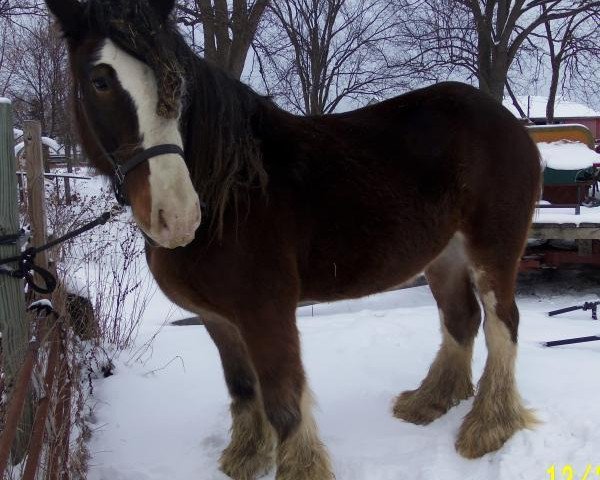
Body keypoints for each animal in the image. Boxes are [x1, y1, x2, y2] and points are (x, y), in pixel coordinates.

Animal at [47, 0, 540, 478]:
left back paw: (488, 427)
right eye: (99, 81)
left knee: (502, 325)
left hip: (492, 252)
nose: (177, 214)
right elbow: (243, 388)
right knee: (461, 319)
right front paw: (246, 457)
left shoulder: (267, 312)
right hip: (443, 256)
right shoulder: (218, 318)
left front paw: (298, 468)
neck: (231, 190)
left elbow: (283, 398)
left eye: (178, 84)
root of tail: (509, 122)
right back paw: (431, 401)